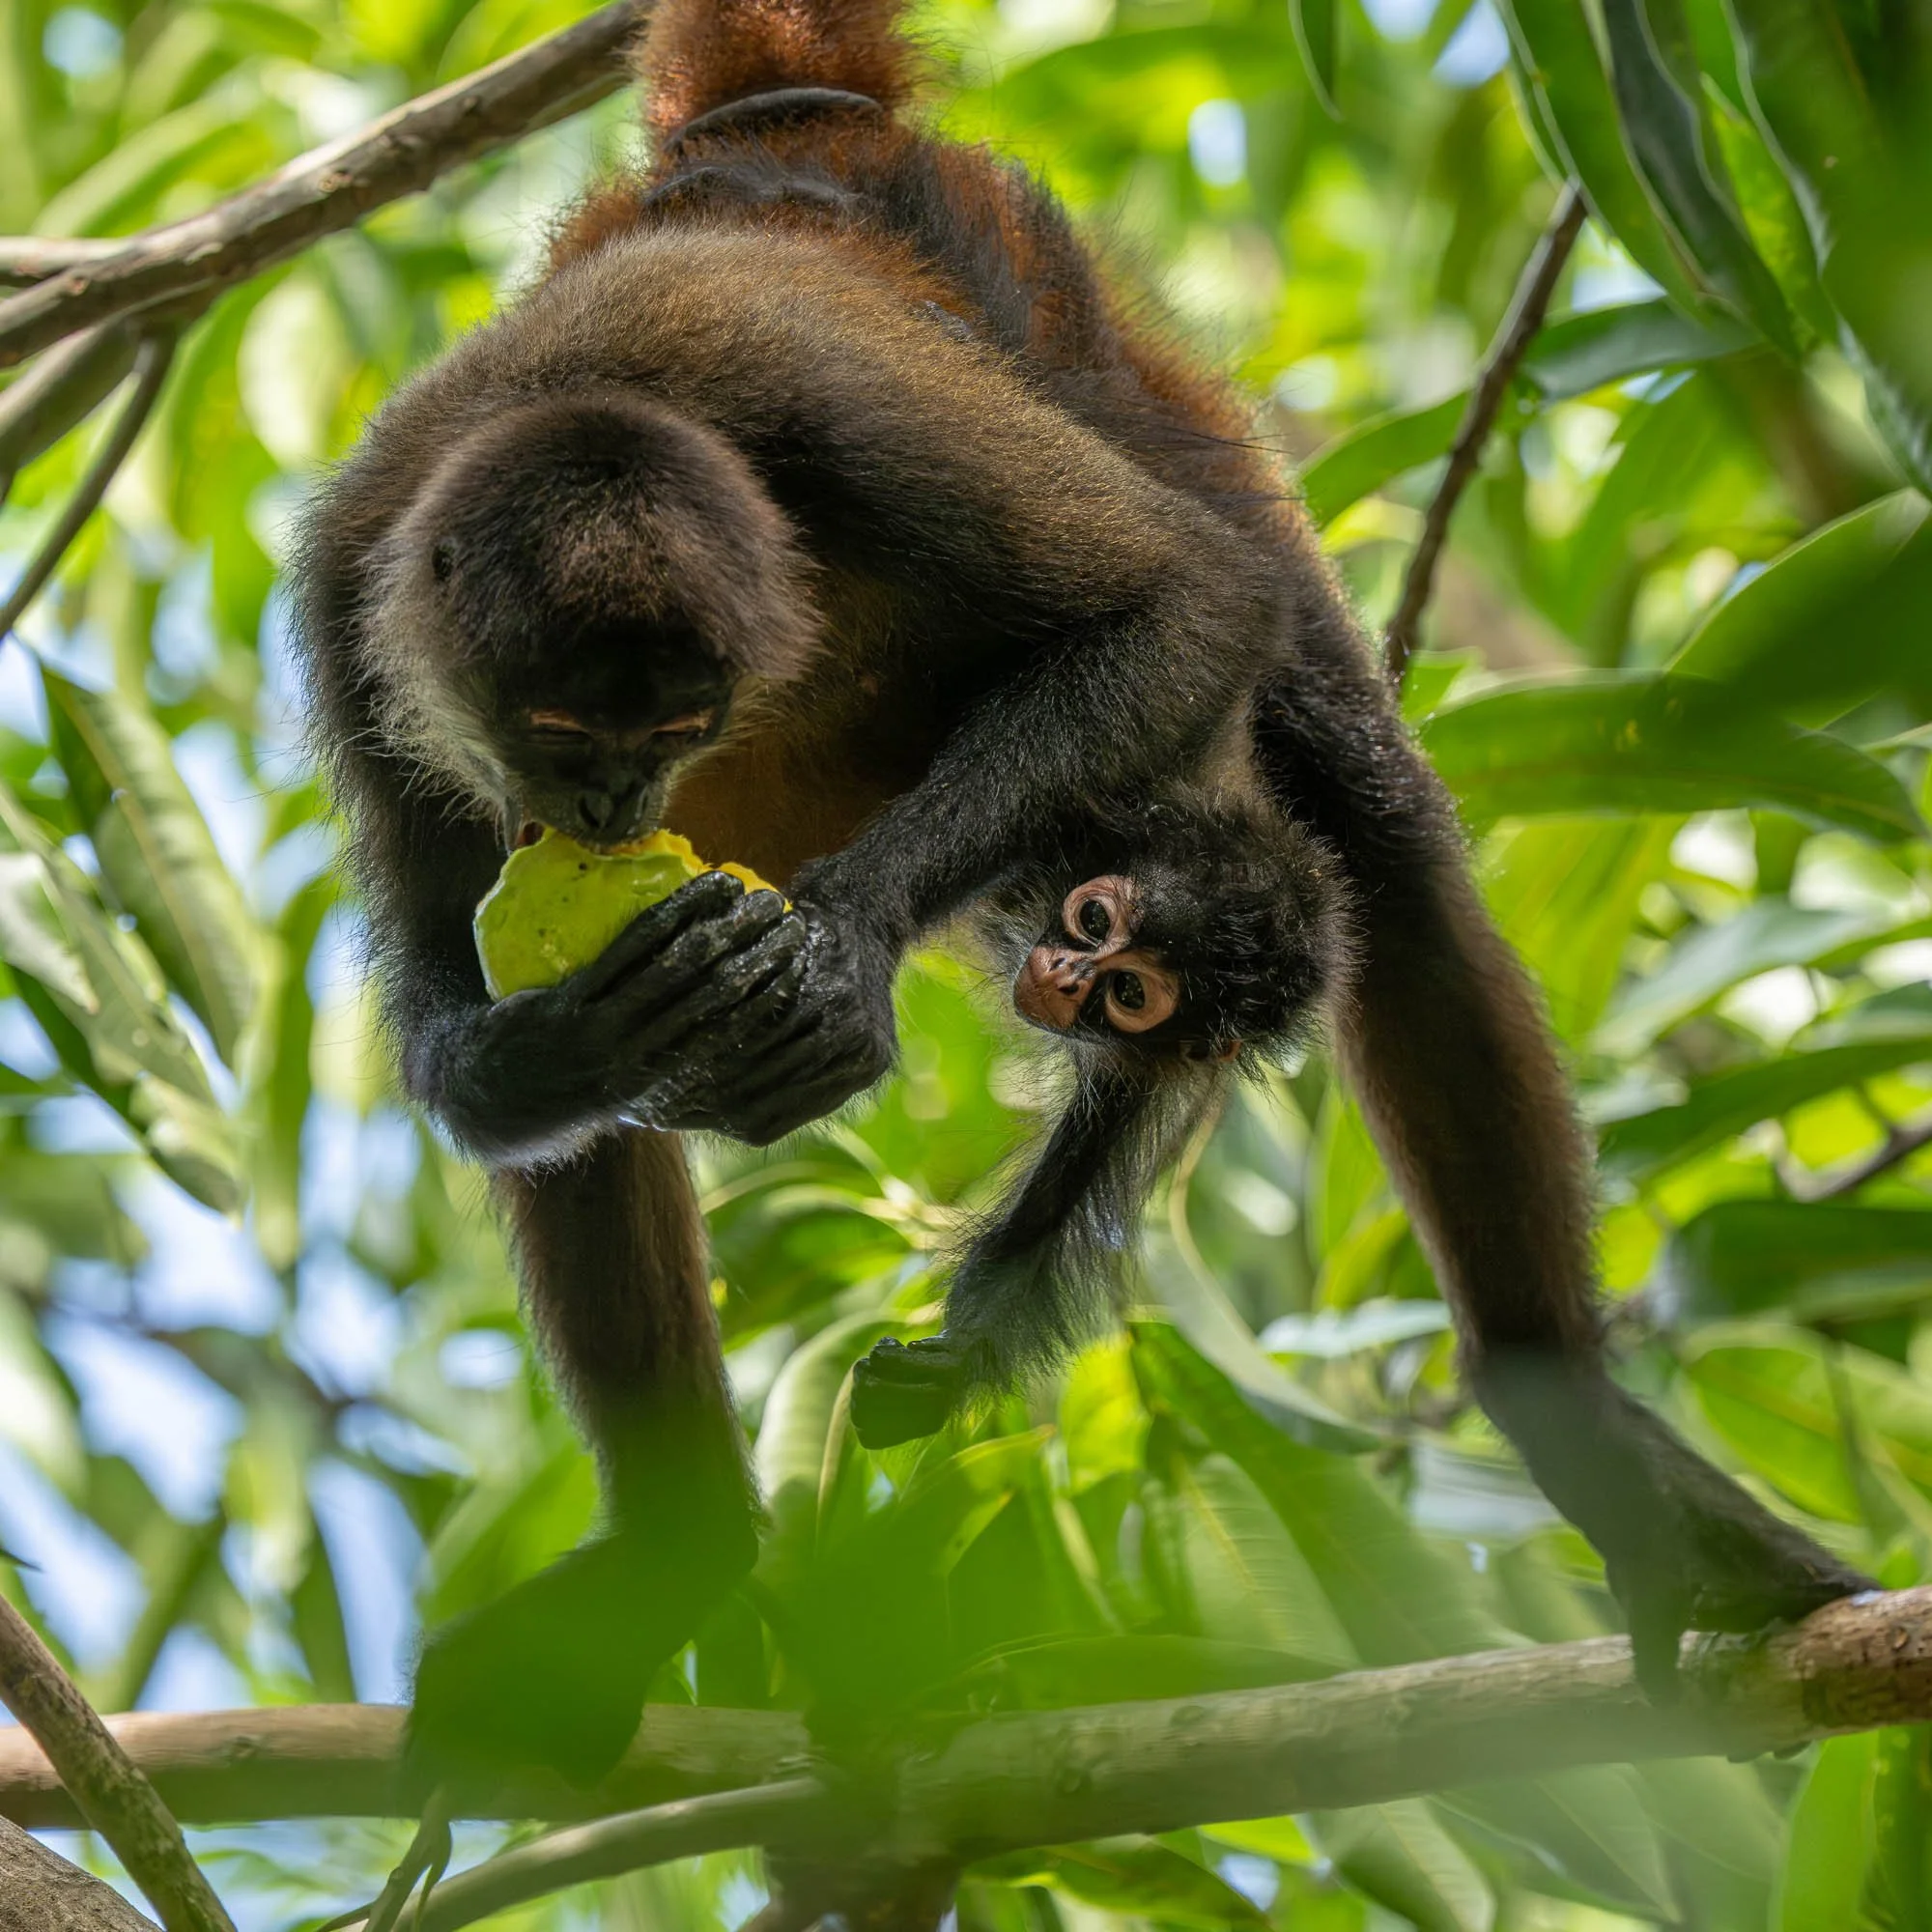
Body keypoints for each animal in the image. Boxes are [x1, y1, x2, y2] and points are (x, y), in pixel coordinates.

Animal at [290, 0, 1868, 1787]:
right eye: (559, 730)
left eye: (674, 726)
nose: (611, 806)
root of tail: (777, 141)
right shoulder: (349, 594)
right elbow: (474, 1031)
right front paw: (564, 1045)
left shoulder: (833, 412)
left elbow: (1187, 606)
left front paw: (834, 960)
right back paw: (676, 1547)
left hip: (1050, 292)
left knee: (1362, 806)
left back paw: (1565, 1408)